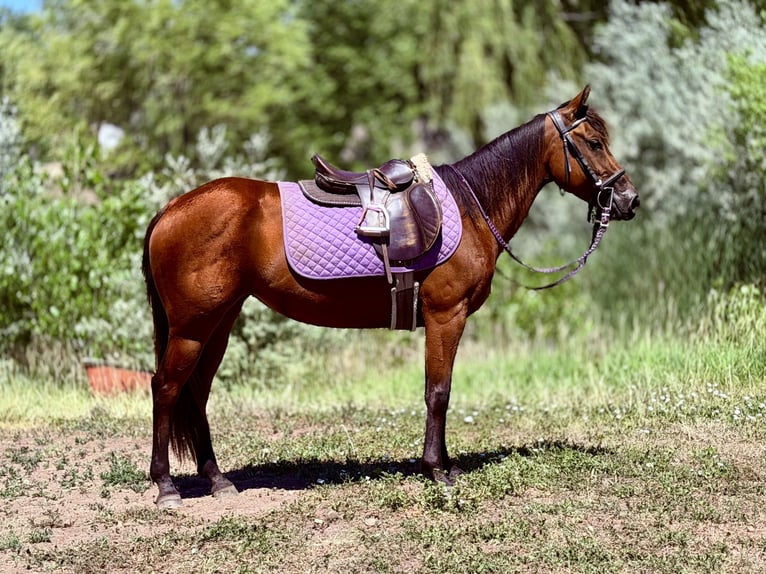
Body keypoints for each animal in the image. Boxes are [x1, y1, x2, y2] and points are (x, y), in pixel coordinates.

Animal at [142, 86, 639, 508]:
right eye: (594, 142)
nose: (629, 200)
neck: (469, 208)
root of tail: (172, 208)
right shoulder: (446, 315)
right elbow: (438, 391)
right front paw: (437, 469)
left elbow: (437, 391)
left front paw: (440, 464)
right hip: (192, 327)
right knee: (166, 388)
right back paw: (166, 486)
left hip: (218, 323)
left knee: (196, 394)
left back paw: (218, 480)